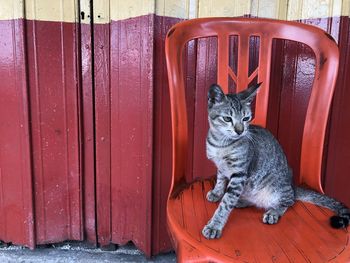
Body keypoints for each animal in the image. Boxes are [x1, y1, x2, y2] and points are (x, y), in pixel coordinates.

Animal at [202, 83, 350, 240]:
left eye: (246, 118)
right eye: (227, 119)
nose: (240, 131)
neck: (220, 144)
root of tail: (293, 186)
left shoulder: (239, 174)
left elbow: (226, 202)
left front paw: (214, 225)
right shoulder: (221, 167)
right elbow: (220, 180)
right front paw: (217, 193)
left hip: (276, 188)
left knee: (289, 200)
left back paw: (273, 212)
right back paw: (242, 201)